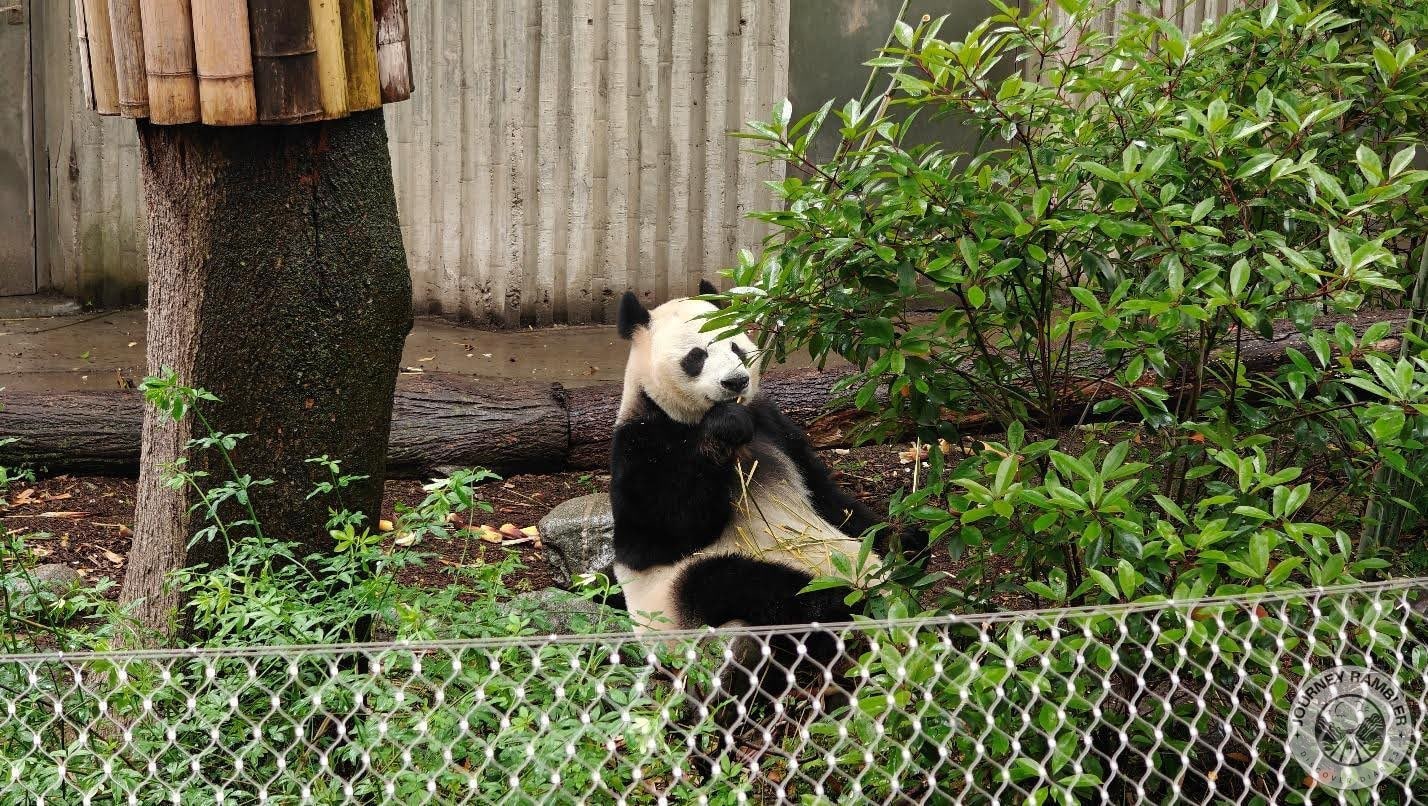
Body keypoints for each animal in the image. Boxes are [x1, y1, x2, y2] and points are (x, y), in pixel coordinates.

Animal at [610, 281, 898, 640]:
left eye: (737, 348)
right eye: (696, 356)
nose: (736, 381)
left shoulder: (772, 424)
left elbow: (823, 492)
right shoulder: (642, 439)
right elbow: (653, 535)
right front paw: (726, 425)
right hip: (674, 594)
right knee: (735, 583)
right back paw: (839, 600)